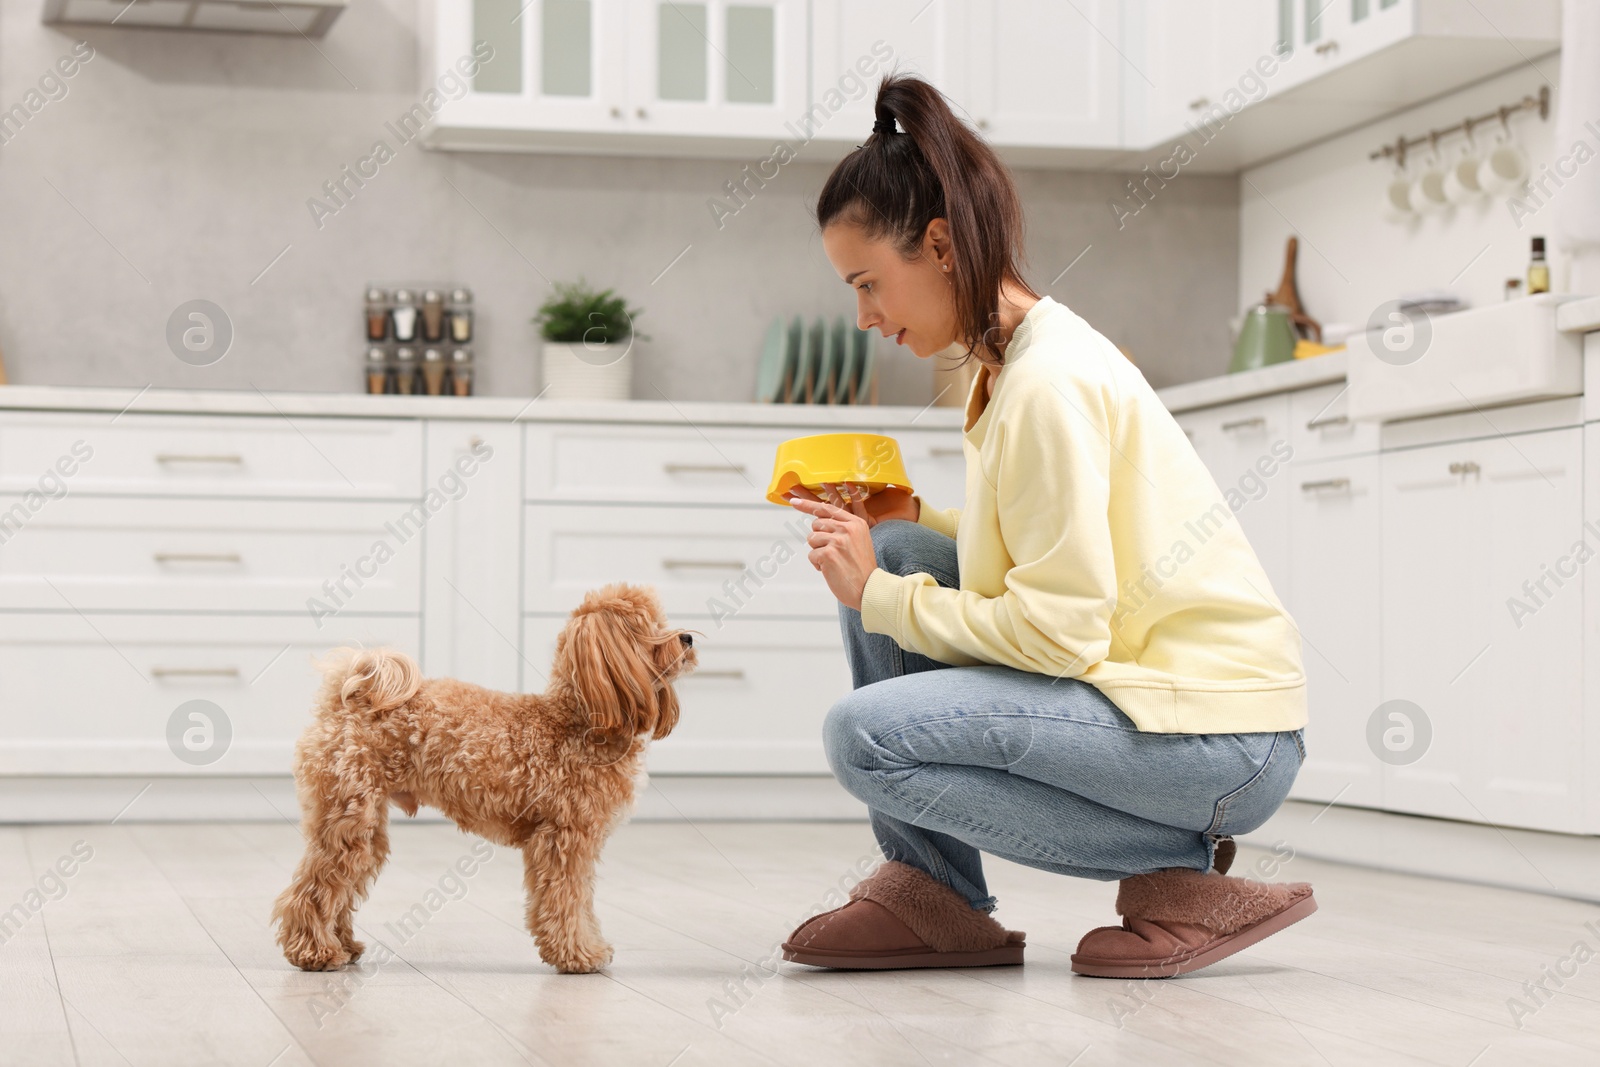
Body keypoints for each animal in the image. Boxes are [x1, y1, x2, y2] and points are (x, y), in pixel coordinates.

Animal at [273, 585, 694, 979]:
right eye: (650, 631)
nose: (687, 638)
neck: (581, 720)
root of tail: (346, 701)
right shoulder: (564, 839)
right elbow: (567, 902)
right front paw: (580, 956)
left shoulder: (575, 842)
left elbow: (579, 902)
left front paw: (585, 948)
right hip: (347, 817)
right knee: (311, 890)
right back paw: (315, 953)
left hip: (364, 826)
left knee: (339, 887)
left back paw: (344, 946)